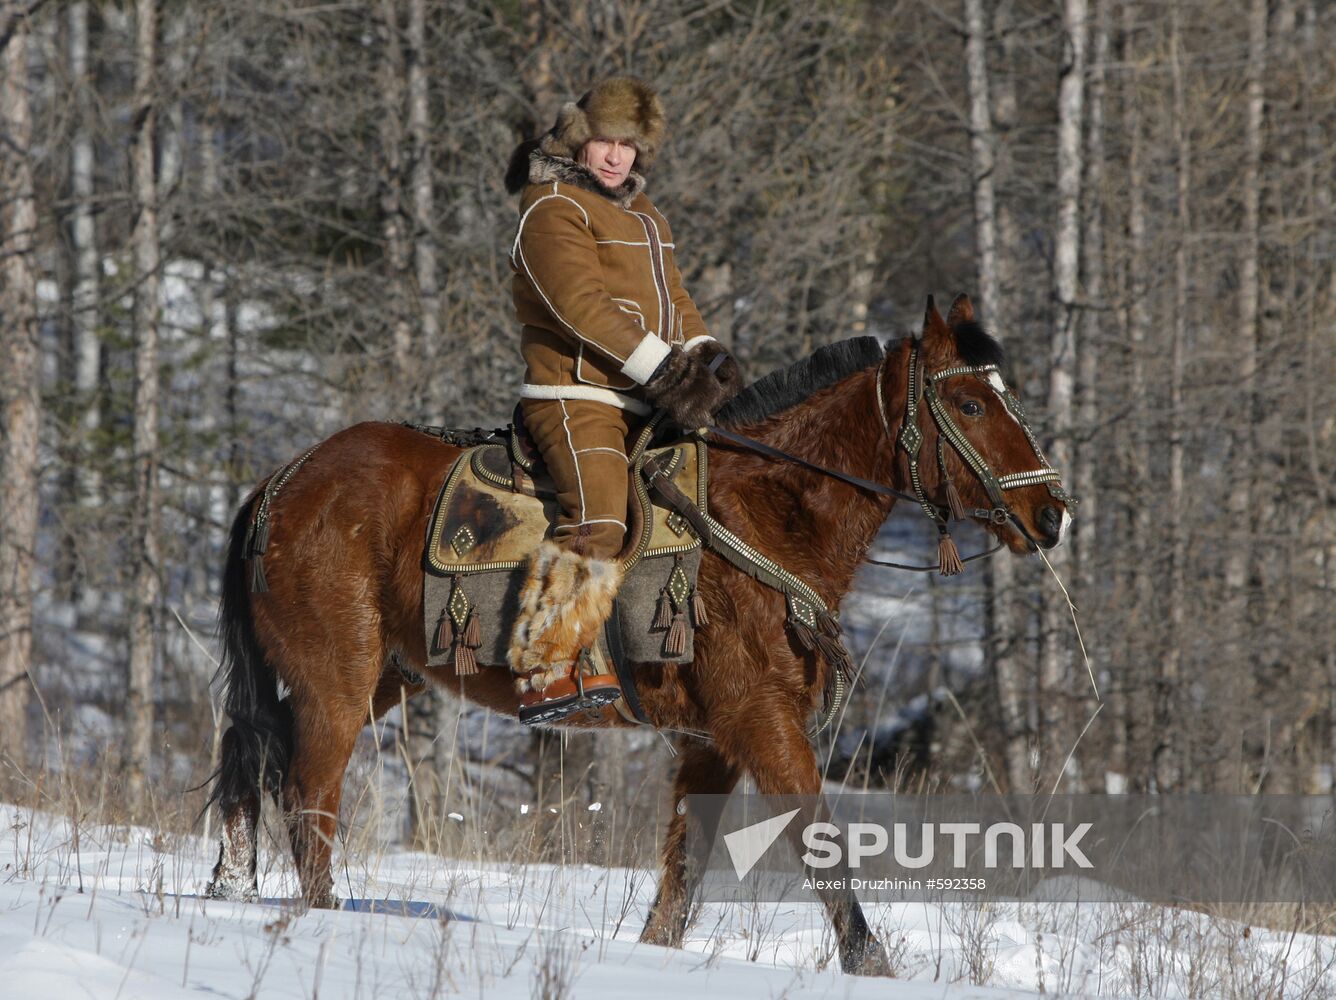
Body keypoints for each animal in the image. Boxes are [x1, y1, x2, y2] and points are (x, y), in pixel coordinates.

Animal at [203, 292, 1068, 971]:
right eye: (971, 404)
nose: (1052, 513)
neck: (766, 512)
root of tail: (283, 480)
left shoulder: (712, 744)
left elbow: (681, 875)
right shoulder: (763, 721)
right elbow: (818, 842)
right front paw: (870, 963)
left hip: (380, 677)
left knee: (258, 763)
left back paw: (234, 884)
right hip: (337, 680)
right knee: (308, 795)